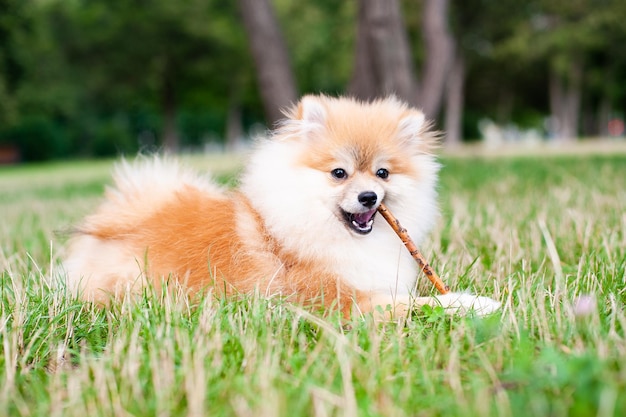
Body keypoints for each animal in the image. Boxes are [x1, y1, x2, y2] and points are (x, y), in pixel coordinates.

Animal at [63, 96, 500, 318]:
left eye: (382, 173)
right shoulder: (336, 297)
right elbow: (416, 304)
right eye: (339, 173)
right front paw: (474, 303)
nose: (369, 197)